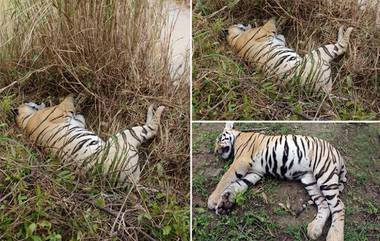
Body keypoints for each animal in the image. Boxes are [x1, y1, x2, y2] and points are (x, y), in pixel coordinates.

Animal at [14, 95, 165, 185]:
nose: (38, 100)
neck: (25, 122)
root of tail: (131, 181)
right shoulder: (58, 111)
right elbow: (66, 103)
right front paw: (73, 97)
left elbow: (79, 118)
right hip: (125, 137)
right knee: (152, 128)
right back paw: (158, 108)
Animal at [208, 123, 348, 241]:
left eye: (219, 140)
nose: (216, 151)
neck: (238, 137)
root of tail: (337, 153)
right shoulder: (255, 173)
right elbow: (238, 185)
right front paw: (225, 202)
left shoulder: (241, 161)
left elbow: (225, 178)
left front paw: (213, 200)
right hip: (310, 181)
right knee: (324, 204)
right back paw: (314, 229)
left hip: (324, 174)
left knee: (339, 205)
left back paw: (334, 236)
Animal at [223, 19, 354, 94]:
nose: (246, 22)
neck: (234, 40)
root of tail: (324, 91)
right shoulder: (261, 32)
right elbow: (269, 25)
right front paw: (274, 20)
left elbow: (280, 37)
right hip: (319, 54)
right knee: (342, 46)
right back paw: (346, 29)